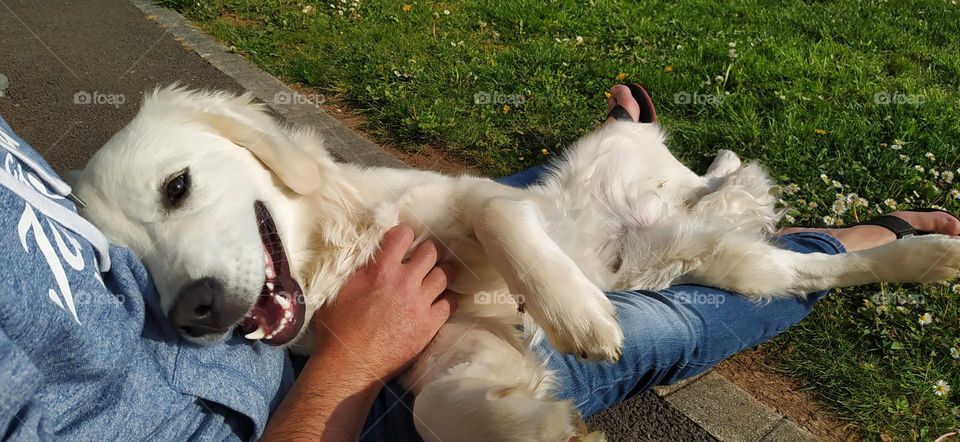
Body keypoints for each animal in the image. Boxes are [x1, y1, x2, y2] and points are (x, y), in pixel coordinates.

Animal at [71, 84, 960, 440]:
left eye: (178, 186)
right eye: (135, 274)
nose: (192, 312)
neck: (336, 261)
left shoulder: (470, 202)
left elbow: (505, 220)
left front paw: (578, 318)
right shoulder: (446, 348)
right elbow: (442, 407)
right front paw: (536, 425)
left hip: (655, 189)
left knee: (719, 181)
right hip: (727, 263)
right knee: (809, 265)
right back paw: (933, 256)